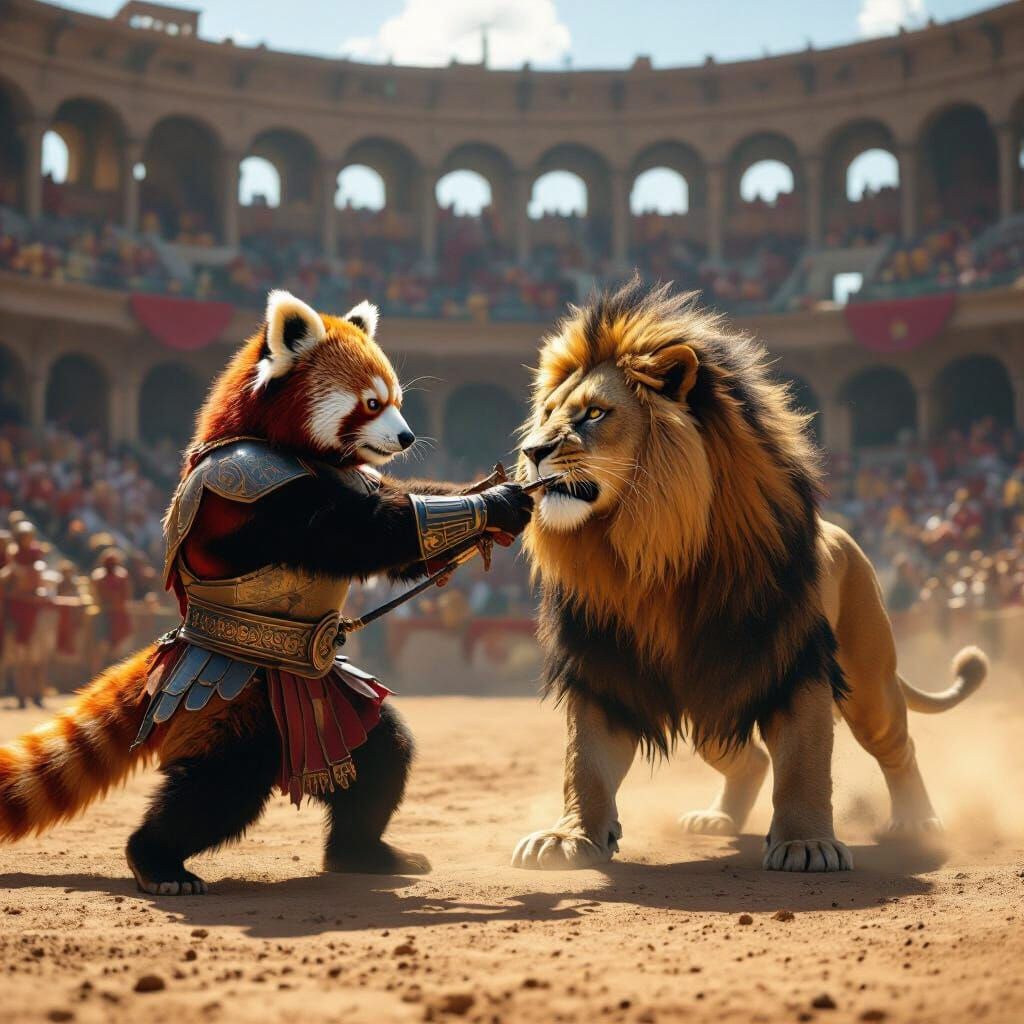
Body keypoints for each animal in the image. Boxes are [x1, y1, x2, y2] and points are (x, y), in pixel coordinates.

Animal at [512, 279, 987, 873]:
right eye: (546, 413)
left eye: (595, 413)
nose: (532, 451)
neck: (650, 549)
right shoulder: (604, 664)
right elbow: (584, 763)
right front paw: (568, 837)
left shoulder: (792, 657)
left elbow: (805, 763)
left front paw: (806, 844)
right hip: (713, 702)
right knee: (752, 759)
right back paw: (717, 819)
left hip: (866, 681)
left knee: (898, 745)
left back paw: (917, 822)